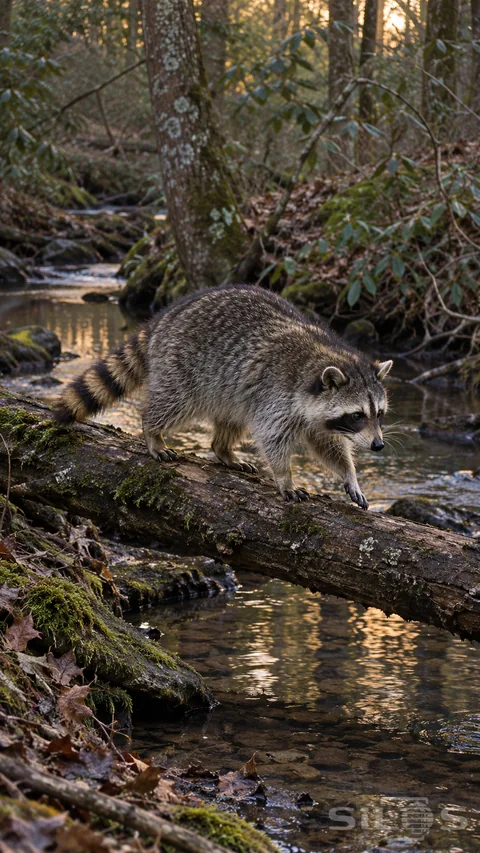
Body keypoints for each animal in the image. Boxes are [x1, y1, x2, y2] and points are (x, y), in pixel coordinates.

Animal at [54, 285, 392, 510]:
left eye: (379, 414)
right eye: (357, 415)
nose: (378, 446)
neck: (324, 358)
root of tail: (166, 316)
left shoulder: (313, 413)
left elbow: (327, 445)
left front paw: (349, 474)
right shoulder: (277, 394)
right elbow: (272, 438)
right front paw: (285, 477)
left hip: (232, 390)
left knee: (232, 419)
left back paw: (223, 449)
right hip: (184, 366)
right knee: (174, 402)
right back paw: (152, 430)